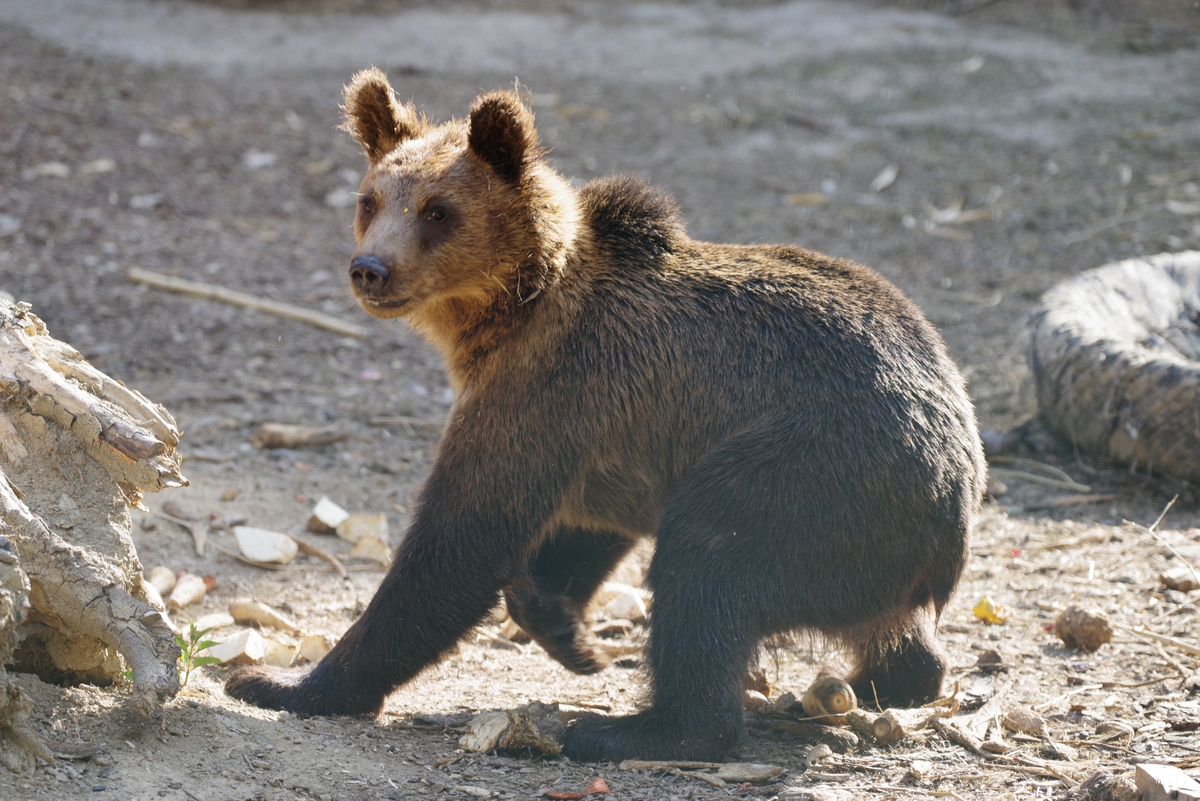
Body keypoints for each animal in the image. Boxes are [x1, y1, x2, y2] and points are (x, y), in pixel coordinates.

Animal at [223, 68, 984, 762]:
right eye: (370, 199)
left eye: (438, 210)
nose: (371, 268)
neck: (511, 310)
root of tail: (954, 506)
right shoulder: (610, 431)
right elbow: (579, 524)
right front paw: (562, 625)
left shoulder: (553, 387)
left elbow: (460, 538)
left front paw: (285, 683)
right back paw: (887, 678)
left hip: (820, 470)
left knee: (710, 558)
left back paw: (634, 729)